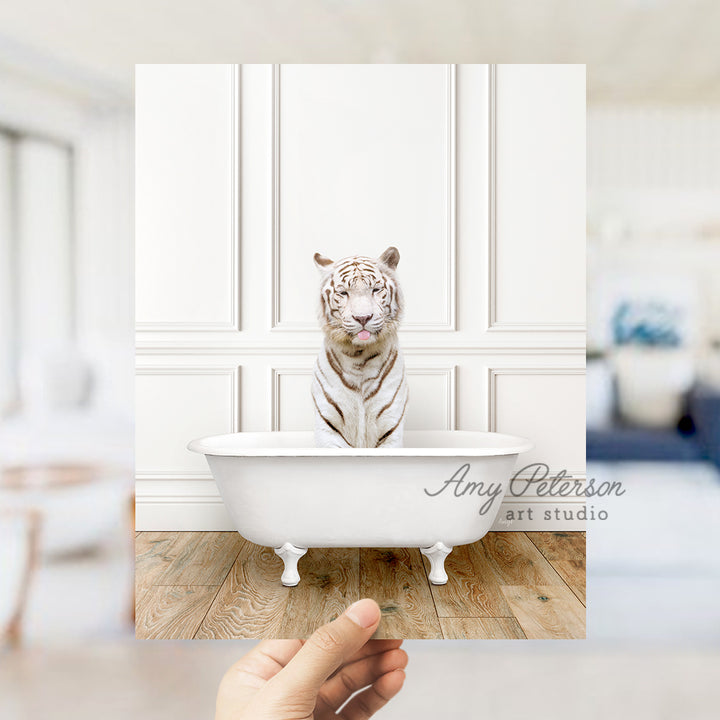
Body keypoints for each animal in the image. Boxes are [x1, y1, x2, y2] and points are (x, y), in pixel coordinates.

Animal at [310, 249, 408, 450]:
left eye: (375, 290)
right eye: (343, 293)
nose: (363, 318)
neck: (359, 356)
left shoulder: (391, 426)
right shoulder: (328, 428)